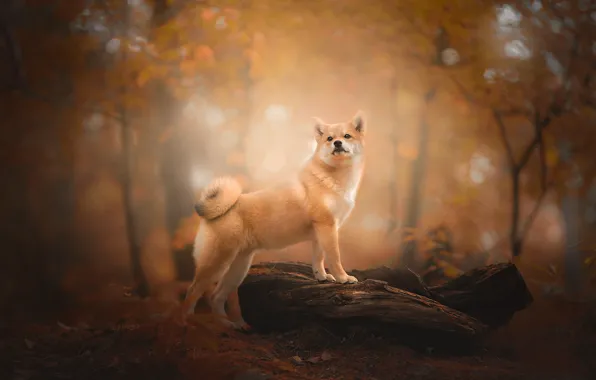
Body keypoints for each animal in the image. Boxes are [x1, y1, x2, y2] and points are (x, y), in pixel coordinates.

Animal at [182, 110, 368, 330]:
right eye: (330, 139)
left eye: (347, 136)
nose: (338, 143)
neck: (332, 176)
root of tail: (220, 210)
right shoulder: (327, 226)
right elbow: (335, 257)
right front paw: (342, 278)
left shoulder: (321, 231)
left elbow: (319, 258)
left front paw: (322, 277)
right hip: (216, 262)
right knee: (192, 292)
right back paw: (186, 323)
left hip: (238, 268)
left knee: (216, 296)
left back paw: (229, 325)